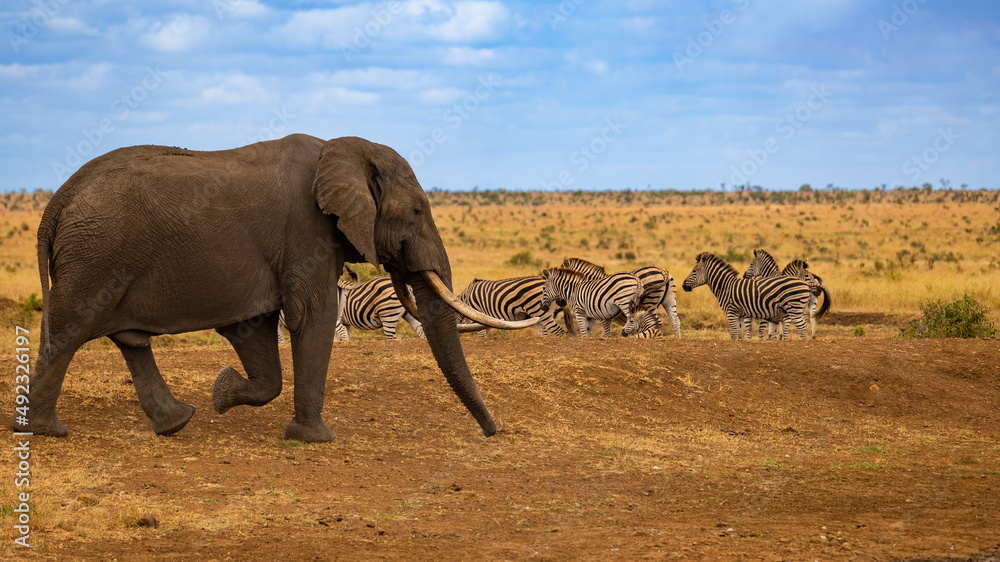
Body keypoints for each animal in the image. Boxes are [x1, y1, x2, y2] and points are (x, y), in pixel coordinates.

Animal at [11, 134, 537, 442]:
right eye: (416, 212)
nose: (493, 433)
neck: (342, 149)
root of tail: (57, 201)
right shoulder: (306, 232)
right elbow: (312, 315)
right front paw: (315, 438)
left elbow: (254, 332)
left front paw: (223, 393)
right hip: (96, 256)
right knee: (67, 334)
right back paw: (43, 431)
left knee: (130, 340)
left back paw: (177, 421)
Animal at [682, 252, 812, 340]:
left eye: (694, 271)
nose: (683, 285)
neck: (725, 286)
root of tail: (805, 284)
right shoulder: (740, 315)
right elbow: (741, 334)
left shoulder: (731, 312)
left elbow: (733, 334)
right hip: (798, 309)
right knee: (804, 327)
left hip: (794, 309)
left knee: (802, 329)